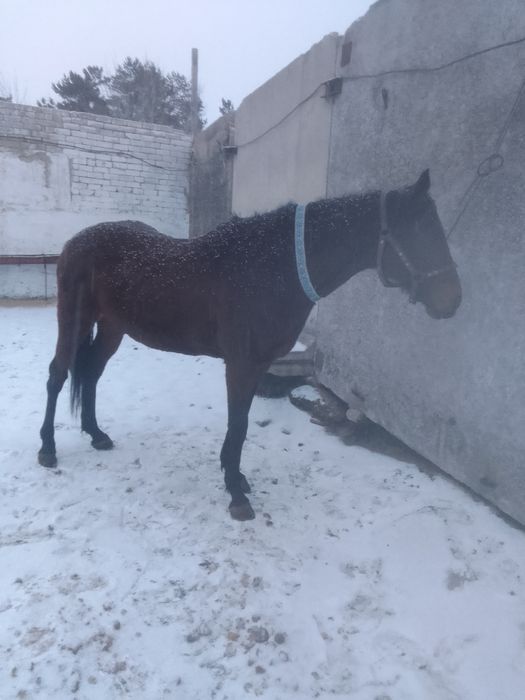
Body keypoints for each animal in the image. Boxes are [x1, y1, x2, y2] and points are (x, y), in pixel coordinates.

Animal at [38, 169, 461, 521]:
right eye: (420, 232)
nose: (453, 300)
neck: (274, 268)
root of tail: (75, 242)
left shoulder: (257, 365)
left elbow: (239, 423)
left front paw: (237, 479)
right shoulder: (240, 364)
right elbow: (238, 424)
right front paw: (237, 496)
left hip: (113, 328)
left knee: (91, 373)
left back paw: (96, 435)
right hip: (74, 318)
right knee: (58, 374)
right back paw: (48, 449)